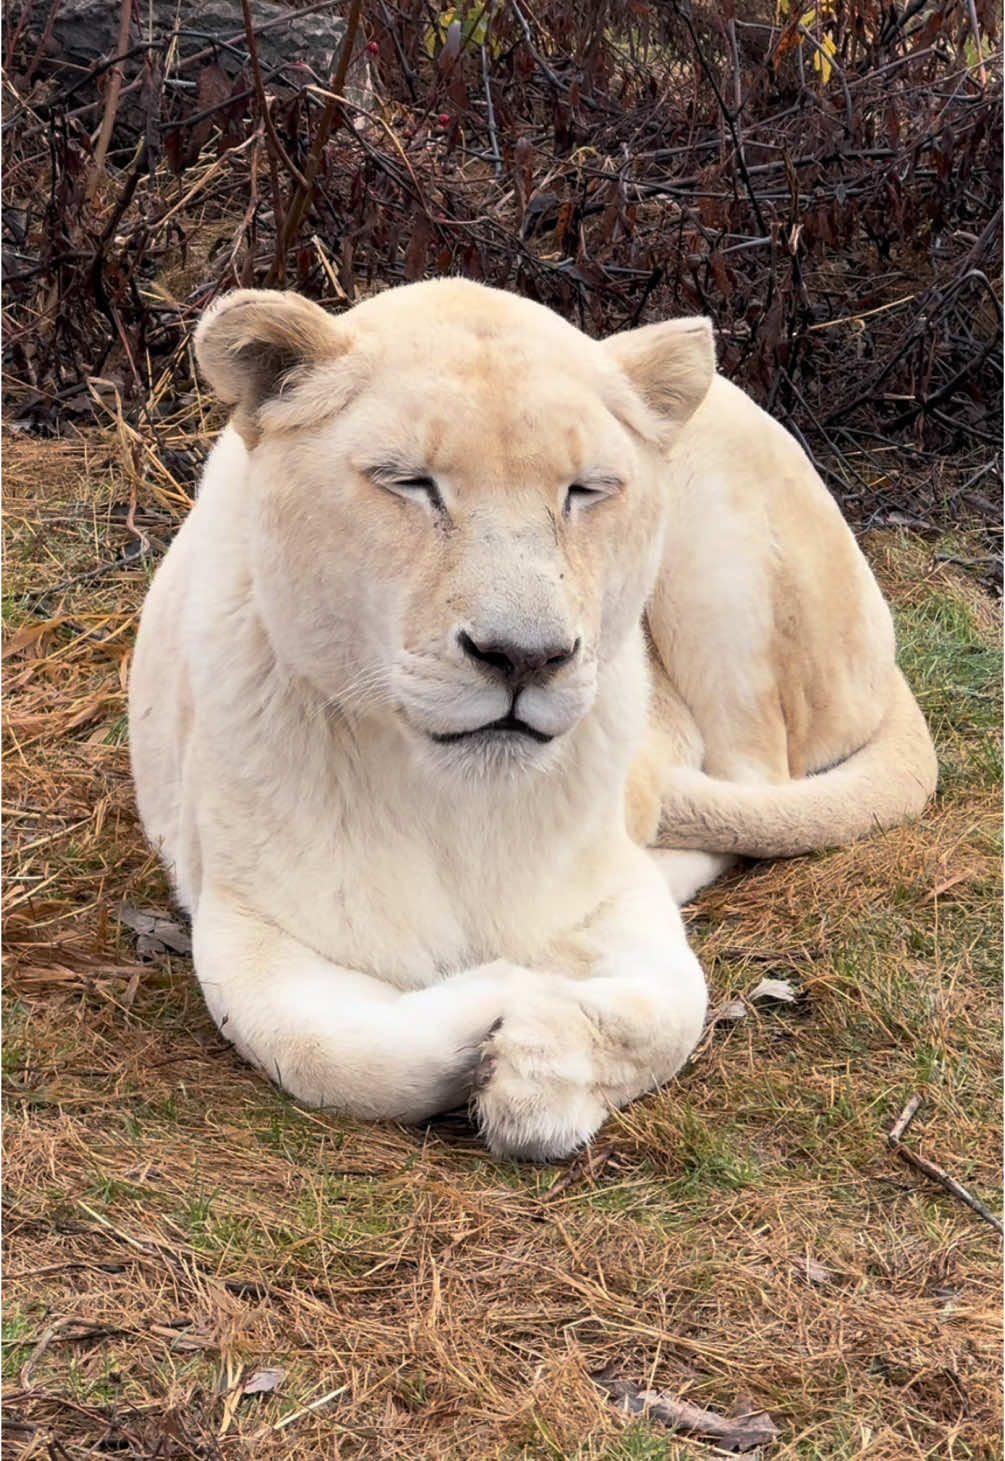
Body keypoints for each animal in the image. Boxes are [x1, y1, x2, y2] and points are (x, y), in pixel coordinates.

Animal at [128, 279, 937, 1160]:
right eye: (408, 481)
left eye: (585, 489)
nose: (524, 656)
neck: (451, 805)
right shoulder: (249, 918)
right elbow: (332, 1051)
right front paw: (498, 993)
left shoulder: (606, 888)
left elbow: (675, 1006)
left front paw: (539, 1067)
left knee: (757, 777)